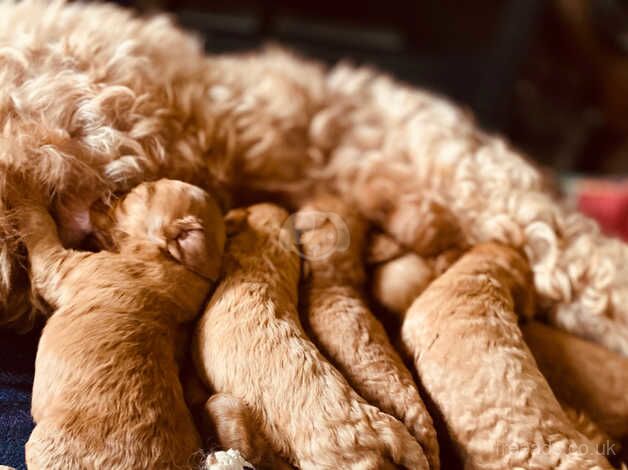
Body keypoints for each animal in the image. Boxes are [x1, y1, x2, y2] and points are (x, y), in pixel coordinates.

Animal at [15, 178, 226, 468]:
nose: (110, 191)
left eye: (141, 192)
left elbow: (40, 229)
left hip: (43, 444)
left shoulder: (65, 266)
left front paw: (26, 197)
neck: (176, 265)